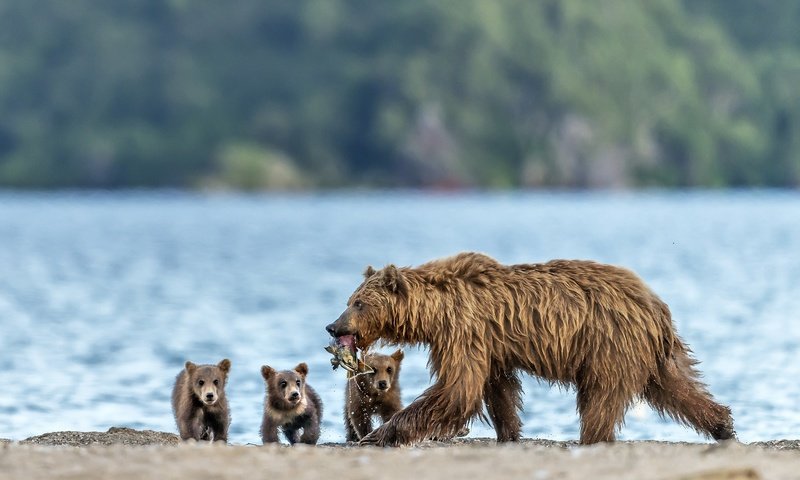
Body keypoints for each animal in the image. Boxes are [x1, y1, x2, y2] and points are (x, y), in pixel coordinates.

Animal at [324, 251, 732, 446]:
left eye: (358, 303)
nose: (333, 326)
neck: (435, 311)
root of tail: (656, 305)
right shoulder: (491, 345)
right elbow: (497, 388)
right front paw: (509, 431)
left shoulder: (465, 330)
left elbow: (458, 388)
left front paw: (382, 433)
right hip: (650, 351)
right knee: (676, 387)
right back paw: (723, 424)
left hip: (609, 343)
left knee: (601, 397)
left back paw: (591, 436)